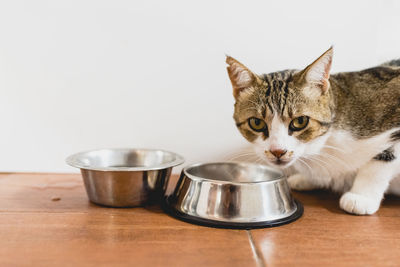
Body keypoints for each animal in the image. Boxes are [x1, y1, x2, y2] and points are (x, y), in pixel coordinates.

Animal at [227, 47, 398, 216]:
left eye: (300, 121)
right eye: (256, 123)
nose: (277, 151)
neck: (324, 142)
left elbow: (379, 163)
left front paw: (361, 196)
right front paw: (306, 179)